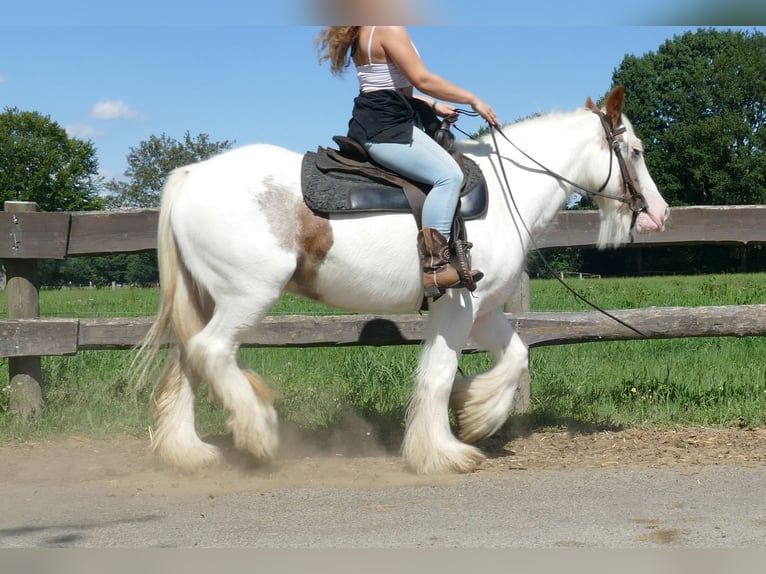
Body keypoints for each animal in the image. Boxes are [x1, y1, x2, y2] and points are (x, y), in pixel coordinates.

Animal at [135, 86, 669, 475]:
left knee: (188, 359)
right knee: (210, 351)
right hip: (247, 297)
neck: (508, 190)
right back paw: (259, 434)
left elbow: (514, 357)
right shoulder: (456, 306)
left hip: (207, 298)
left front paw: (475, 415)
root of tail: (190, 175)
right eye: (636, 150)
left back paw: (189, 452)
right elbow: (437, 375)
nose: (659, 214)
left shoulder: (483, 310)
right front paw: (443, 452)